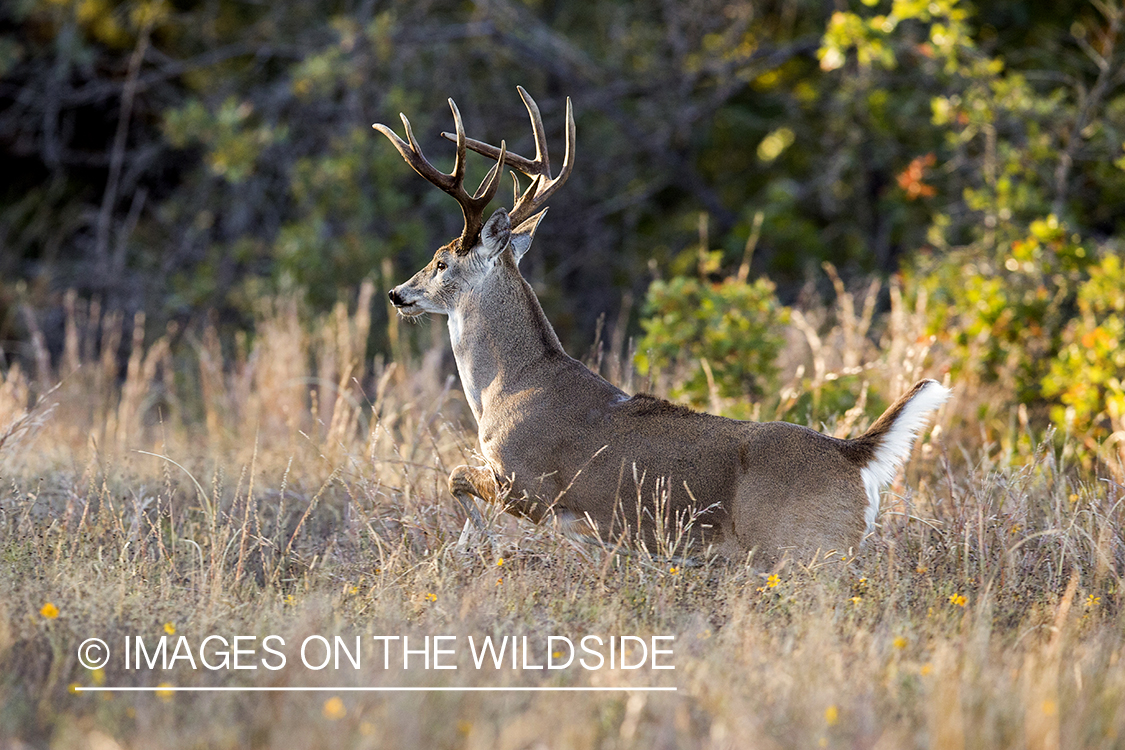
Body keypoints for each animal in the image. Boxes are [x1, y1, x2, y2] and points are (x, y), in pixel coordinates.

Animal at [375, 88, 949, 566]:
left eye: (441, 262)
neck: (508, 387)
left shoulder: (531, 485)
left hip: (801, 551)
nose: (398, 293)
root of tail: (854, 454)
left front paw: (468, 546)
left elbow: (455, 476)